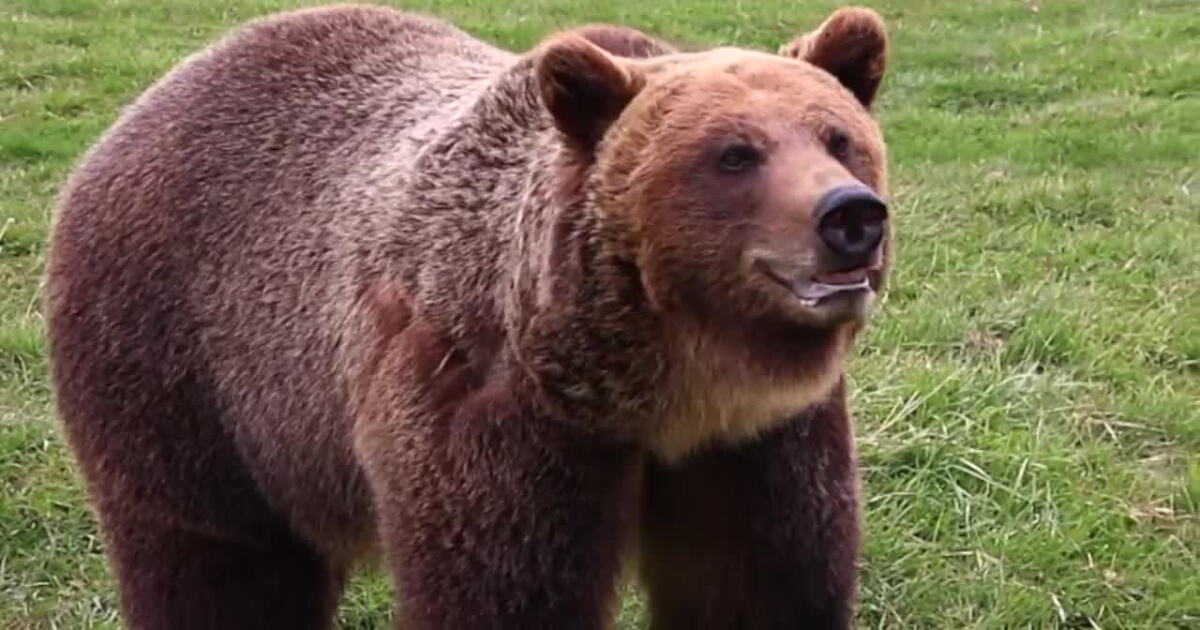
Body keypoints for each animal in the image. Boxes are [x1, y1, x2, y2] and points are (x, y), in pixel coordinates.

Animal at [45, 4, 891, 629]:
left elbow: (758, 579)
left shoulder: (757, 441)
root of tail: (148, 102)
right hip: (184, 365)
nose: (850, 216)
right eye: (735, 154)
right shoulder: (486, 413)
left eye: (839, 137)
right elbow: (500, 586)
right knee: (217, 556)